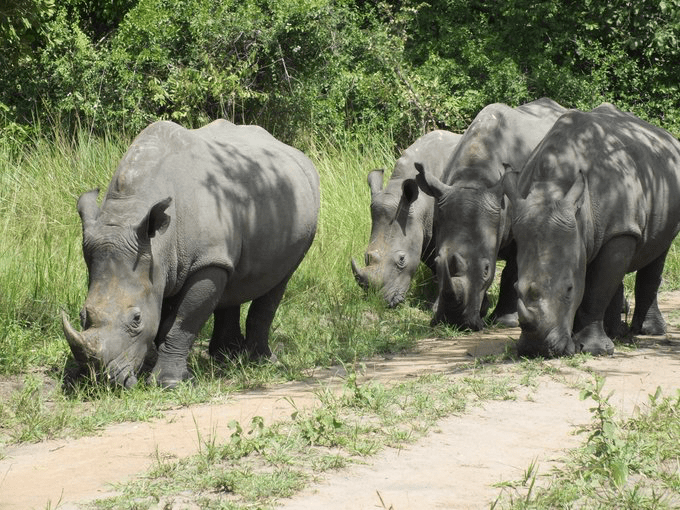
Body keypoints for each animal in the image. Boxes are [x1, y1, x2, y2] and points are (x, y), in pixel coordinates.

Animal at [62, 119, 320, 388]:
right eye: (81, 315)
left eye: (136, 319)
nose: (100, 380)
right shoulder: (161, 263)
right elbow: (166, 317)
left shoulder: (203, 262)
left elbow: (182, 321)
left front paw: (169, 383)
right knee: (232, 277)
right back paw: (226, 357)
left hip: (303, 212)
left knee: (280, 279)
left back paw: (261, 362)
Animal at [415, 98, 566, 330]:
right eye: (439, 264)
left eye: (486, 269)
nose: (455, 322)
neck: (473, 180)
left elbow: (512, 271)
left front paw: (505, 321)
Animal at [503, 103, 680, 357]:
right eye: (517, 289)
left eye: (569, 289)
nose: (538, 350)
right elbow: (600, 280)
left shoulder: (619, 229)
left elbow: (596, 291)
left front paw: (594, 350)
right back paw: (616, 333)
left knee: (658, 251)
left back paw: (649, 332)